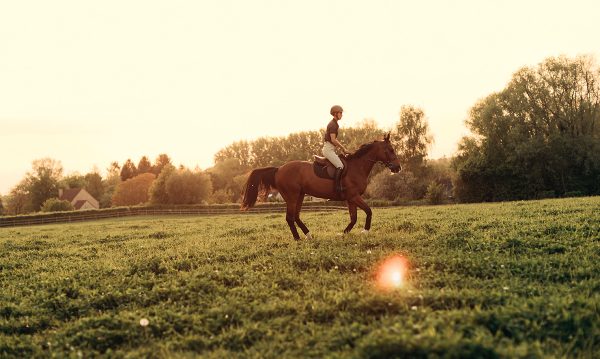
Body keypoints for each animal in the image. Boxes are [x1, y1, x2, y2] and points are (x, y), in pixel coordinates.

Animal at [240, 134, 404, 240]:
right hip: (292, 196)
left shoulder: (350, 199)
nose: (398, 167)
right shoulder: (354, 196)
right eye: (391, 150)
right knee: (290, 218)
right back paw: (298, 238)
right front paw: (365, 231)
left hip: (300, 196)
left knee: (296, 216)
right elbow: (369, 211)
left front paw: (343, 234)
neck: (357, 167)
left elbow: (354, 218)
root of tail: (279, 169)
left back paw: (308, 235)